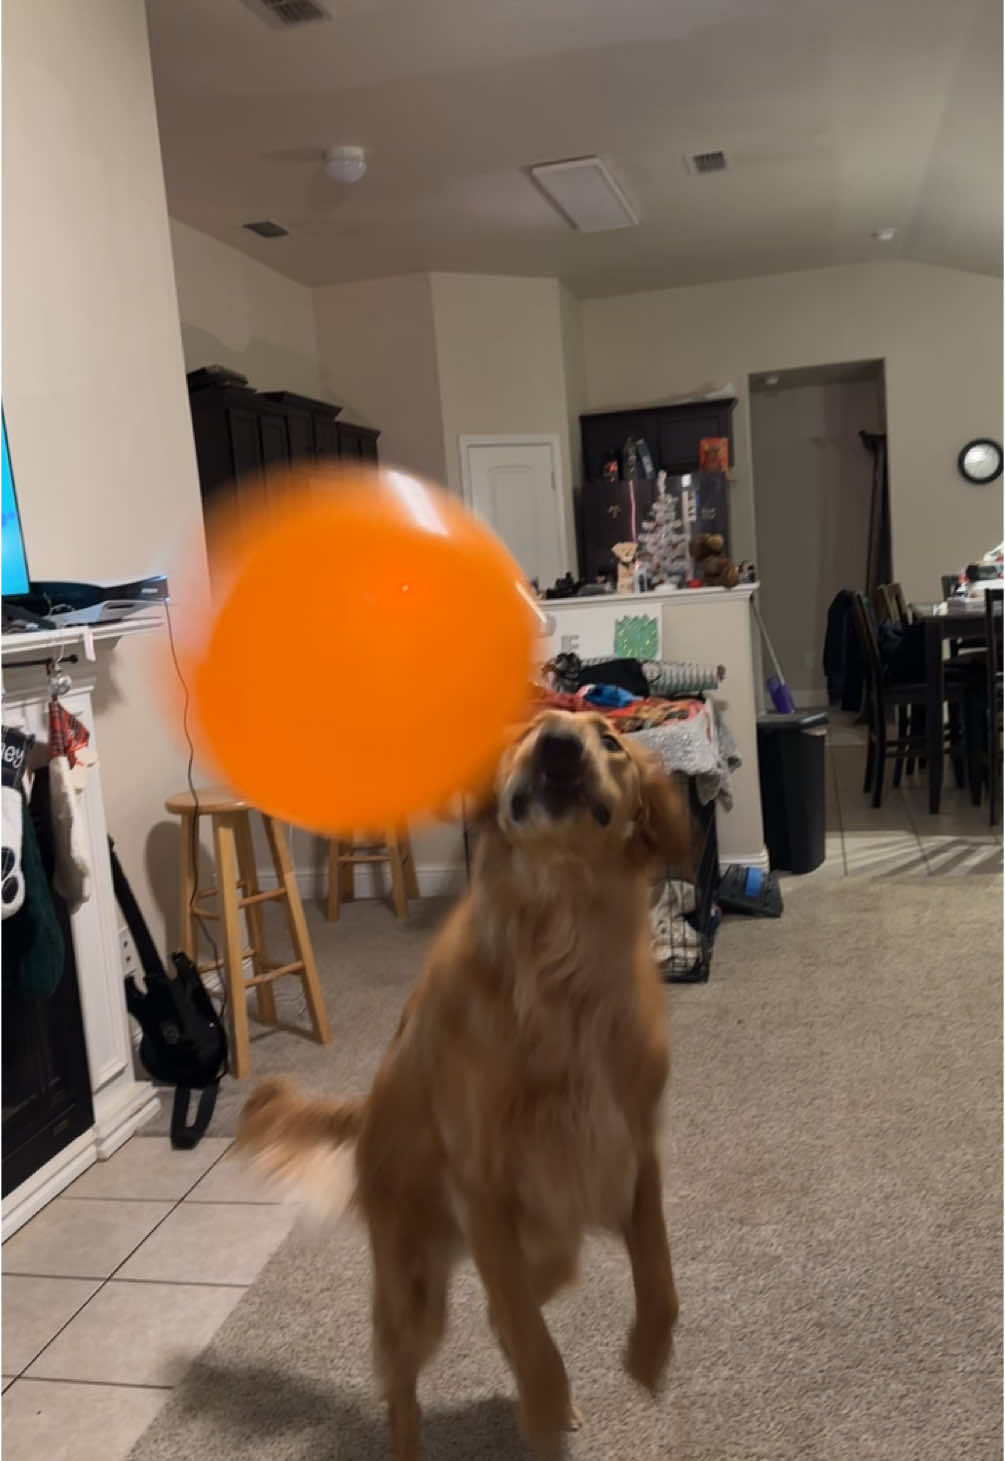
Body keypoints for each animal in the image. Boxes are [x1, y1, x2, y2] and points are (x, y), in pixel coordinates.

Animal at [238, 704, 689, 1449]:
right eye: (530, 730)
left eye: (610, 740)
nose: (558, 747)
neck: (560, 956)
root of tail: (365, 1110)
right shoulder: (484, 1186)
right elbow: (533, 1340)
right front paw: (542, 1409)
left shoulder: (631, 1147)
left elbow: (657, 1273)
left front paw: (647, 1354)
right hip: (414, 1290)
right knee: (403, 1379)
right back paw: (411, 1443)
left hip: (552, 1246)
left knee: (500, 1308)